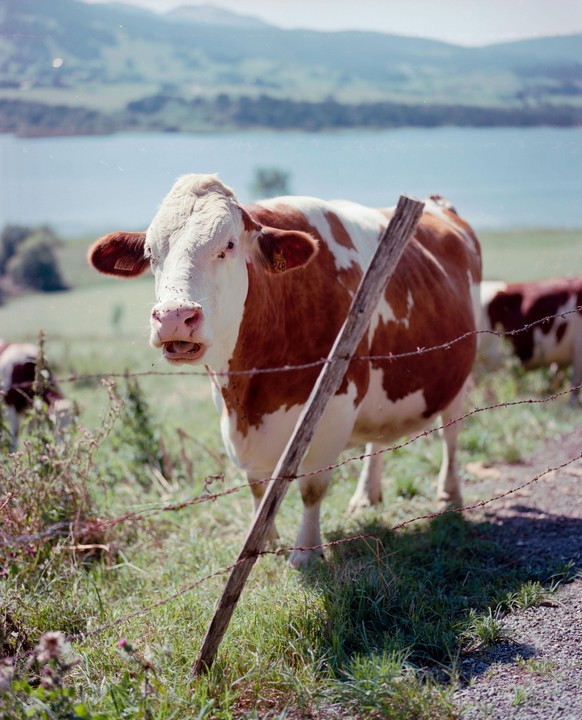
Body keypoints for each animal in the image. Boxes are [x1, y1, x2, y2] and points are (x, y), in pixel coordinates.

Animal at [88, 174, 482, 566]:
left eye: (228, 245)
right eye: (151, 253)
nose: (173, 317)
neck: (249, 392)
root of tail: (440, 207)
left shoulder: (332, 414)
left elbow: (311, 488)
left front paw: (305, 553)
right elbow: (258, 487)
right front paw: (263, 542)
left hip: (460, 374)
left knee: (451, 434)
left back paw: (448, 494)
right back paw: (366, 497)